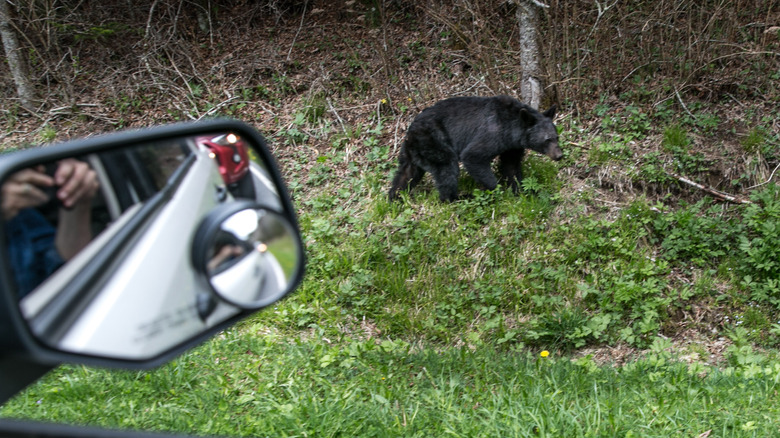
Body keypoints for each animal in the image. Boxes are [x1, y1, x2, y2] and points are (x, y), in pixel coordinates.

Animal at [388, 95, 562, 202]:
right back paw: (459, 197)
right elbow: (473, 156)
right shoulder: (493, 134)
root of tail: (410, 131)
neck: (513, 128)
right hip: (434, 141)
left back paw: (394, 197)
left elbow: (511, 166)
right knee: (447, 169)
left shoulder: (513, 146)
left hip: (413, 151)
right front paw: (495, 190)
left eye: (557, 137)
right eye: (547, 139)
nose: (559, 155)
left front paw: (522, 190)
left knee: (406, 173)